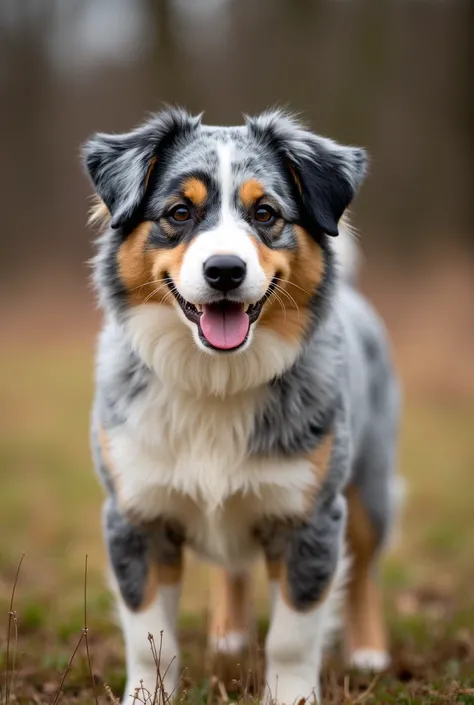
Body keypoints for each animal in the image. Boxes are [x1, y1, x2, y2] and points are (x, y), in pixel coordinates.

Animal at [84, 107, 400, 700]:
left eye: (266, 213)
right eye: (179, 212)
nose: (225, 270)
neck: (216, 379)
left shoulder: (311, 516)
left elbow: (293, 635)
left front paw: (292, 694)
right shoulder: (135, 514)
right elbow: (148, 633)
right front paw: (147, 694)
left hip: (370, 484)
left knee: (366, 570)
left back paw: (369, 652)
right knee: (230, 568)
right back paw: (229, 637)